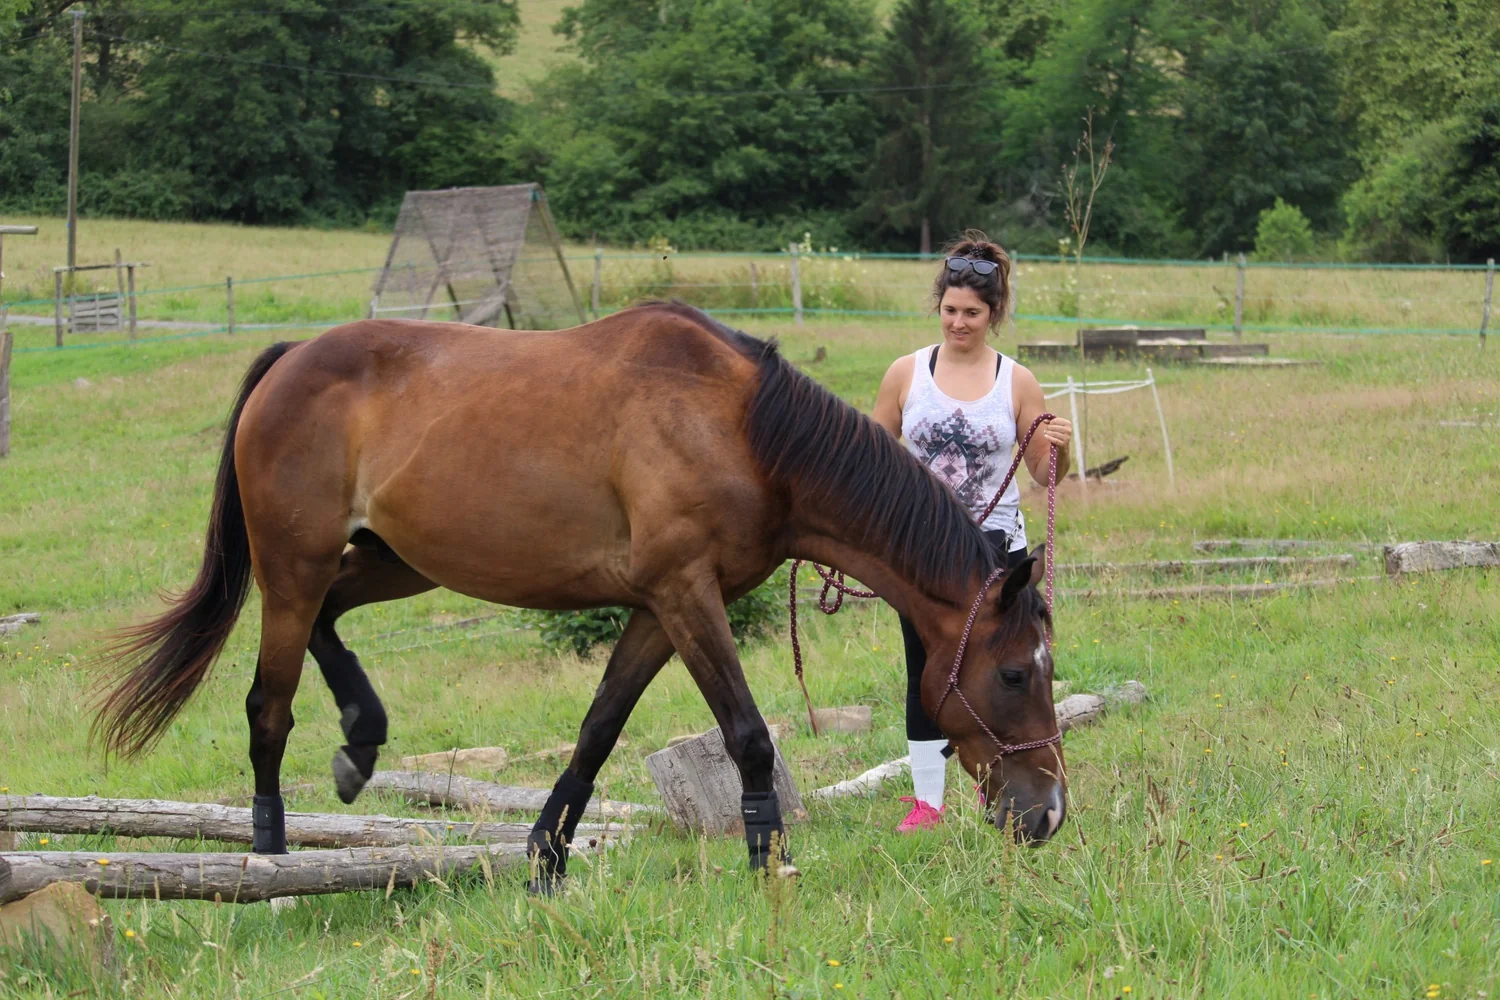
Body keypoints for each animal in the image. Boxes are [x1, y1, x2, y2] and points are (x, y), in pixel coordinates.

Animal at [97, 303, 1064, 889]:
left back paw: (361, 742)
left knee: (332, 625)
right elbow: (748, 736)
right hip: (291, 569)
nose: (1047, 813)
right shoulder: (686, 595)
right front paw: (766, 856)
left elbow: (598, 731)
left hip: (396, 560)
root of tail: (290, 359)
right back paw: (272, 868)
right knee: (268, 709)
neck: (744, 431)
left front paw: (546, 861)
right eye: (1015, 674)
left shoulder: (658, 608)